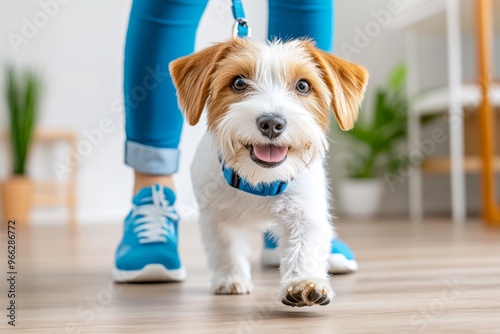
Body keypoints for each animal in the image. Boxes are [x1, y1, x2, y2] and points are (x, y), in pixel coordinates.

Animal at [170, 37, 370, 306]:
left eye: (303, 86)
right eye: (239, 82)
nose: (272, 123)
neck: (258, 180)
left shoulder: (304, 209)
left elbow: (305, 245)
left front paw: (304, 282)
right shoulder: (216, 215)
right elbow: (225, 247)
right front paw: (231, 278)